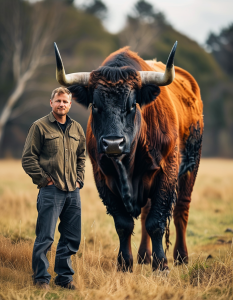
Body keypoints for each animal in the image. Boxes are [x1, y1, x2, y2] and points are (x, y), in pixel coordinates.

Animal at [53, 42, 203, 272]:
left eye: (132, 105)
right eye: (95, 105)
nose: (114, 143)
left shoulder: (166, 173)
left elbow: (156, 222)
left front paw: (161, 265)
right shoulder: (102, 177)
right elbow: (124, 224)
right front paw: (125, 263)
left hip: (190, 168)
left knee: (181, 211)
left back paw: (181, 257)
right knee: (145, 214)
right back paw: (143, 256)